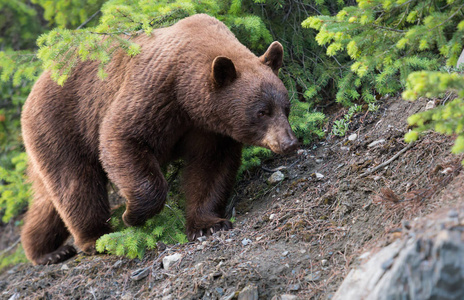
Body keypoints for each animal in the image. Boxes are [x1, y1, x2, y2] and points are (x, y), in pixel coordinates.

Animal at [20, 13, 298, 264]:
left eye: (286, 108)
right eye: (262, 112)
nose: (289, 142)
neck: (189, 98)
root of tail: (39, 80)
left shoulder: (211, 130)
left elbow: (211, 168)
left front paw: (208, 224)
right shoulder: (155, 92)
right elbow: (122, 138)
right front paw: (132, 216)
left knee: (46, 200)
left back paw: (46, 251)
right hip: (63, 123)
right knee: (76, 182)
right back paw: (95, 238)